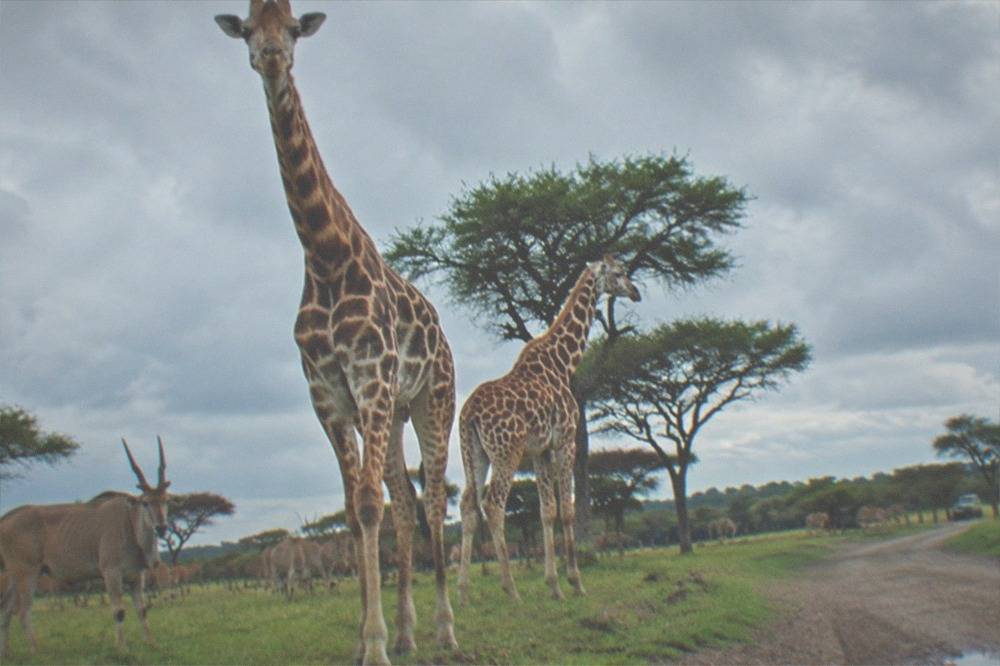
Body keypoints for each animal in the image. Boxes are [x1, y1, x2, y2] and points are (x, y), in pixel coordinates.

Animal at [0, 438, 170, 656]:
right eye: (146, 503)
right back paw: (35, 651)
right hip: (27, 574)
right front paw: (122, 649)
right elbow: (119, 611)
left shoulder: (136, 577)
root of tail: (6, 519)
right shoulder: (111, 573)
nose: (162, 528)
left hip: (16, 576)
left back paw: (6, 653)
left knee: (6, 610)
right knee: (23, 611)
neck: (129, 521)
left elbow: (142, 610)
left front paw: (151, 644)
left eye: (166, 500)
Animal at [215, 2, 456, 663]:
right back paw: (410, 629)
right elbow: (355, 510)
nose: (272, 57)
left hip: (430, 402)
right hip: (393, 415)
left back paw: (445, 629)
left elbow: (369, 504)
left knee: (433, 499)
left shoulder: (369, 380)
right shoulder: (327, 396)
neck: (323, 257)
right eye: (249, 30)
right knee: (406, 504)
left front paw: (374, 644)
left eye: (294, 28)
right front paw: (370, 636)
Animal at [457, 255, 640, 604]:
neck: (563, 362)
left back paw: (465, 591)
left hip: (474, 454)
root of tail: (468, 413)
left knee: (468, 505)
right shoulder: (565, 441)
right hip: (506, 452)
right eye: (620, 272)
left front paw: (554, 584)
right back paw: (510, 589)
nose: (636, 292)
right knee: (494, 504)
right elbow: (567, 510)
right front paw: (575, 582)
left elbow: (546, 511)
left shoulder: (539, 451)